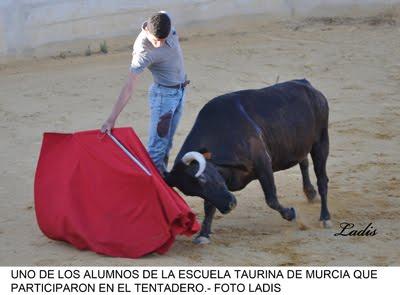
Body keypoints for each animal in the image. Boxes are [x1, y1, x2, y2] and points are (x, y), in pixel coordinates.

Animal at [164, 79, 330, 245]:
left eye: (202, 178)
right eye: (192, 193)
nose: (229, 206)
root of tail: (306, 84)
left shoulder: (263, 164)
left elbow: (271, 199)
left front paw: (291, 214)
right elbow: (209, 205)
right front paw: (203, 234)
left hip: (321, 141)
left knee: (322, 179)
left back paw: (325, 217)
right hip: (300, 144)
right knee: (304, 162)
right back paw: (310, 193)